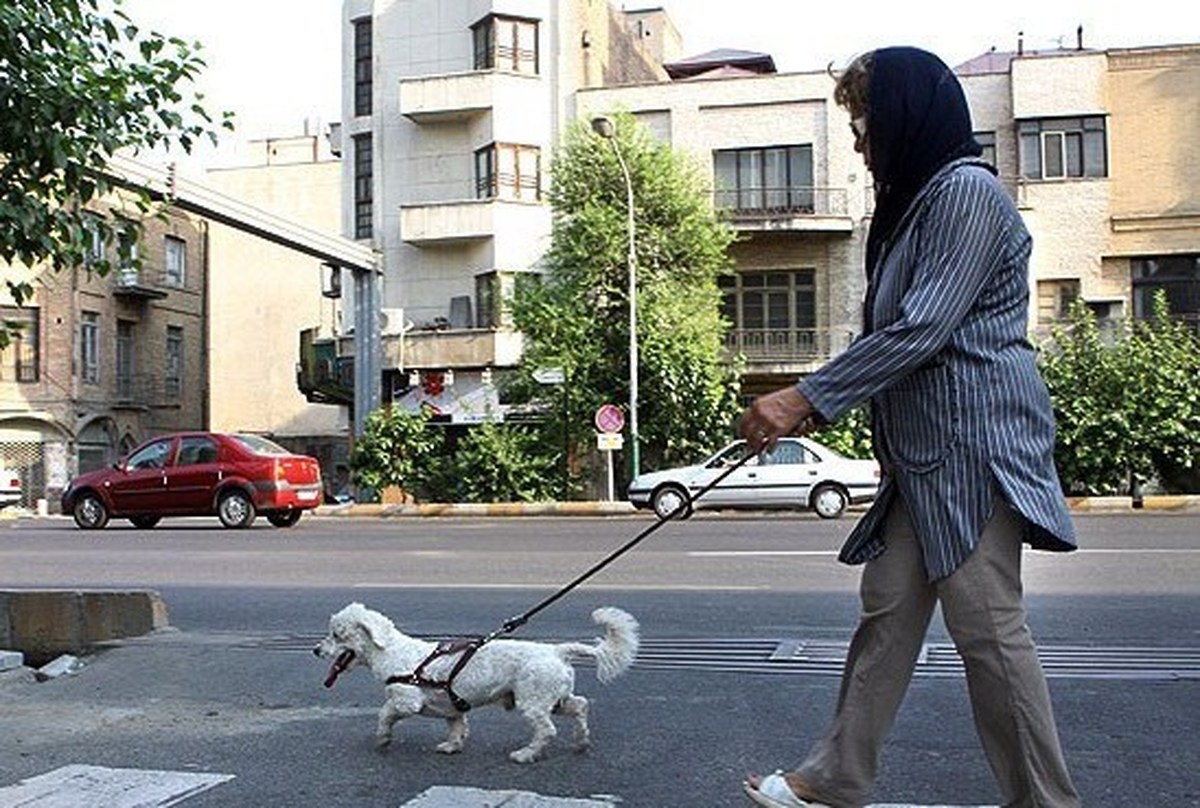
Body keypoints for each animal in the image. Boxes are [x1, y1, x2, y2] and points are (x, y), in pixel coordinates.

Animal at [314, 597, 643, 763]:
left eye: (337, 635)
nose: (316, 649)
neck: (393, 651)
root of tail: (557, 651)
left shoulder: (406, 702)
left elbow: (385, 714)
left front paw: (383, 738)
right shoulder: (452, 707)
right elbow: (457, 726)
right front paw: (452, 746)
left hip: (533, 701)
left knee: (547, 730)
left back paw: (527, 754)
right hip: (554, 698)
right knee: (580, 706)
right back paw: (582, 741)